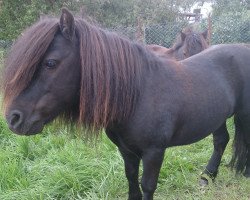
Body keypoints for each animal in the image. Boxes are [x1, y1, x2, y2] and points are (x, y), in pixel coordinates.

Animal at [2, 8, 250, 200]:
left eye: (50, 63)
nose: (13, 118)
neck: (138, 95)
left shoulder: (154, 152)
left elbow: (147, 185)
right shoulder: (126, 150)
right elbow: (131, 179)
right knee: (221, 140)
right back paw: (207, 177)